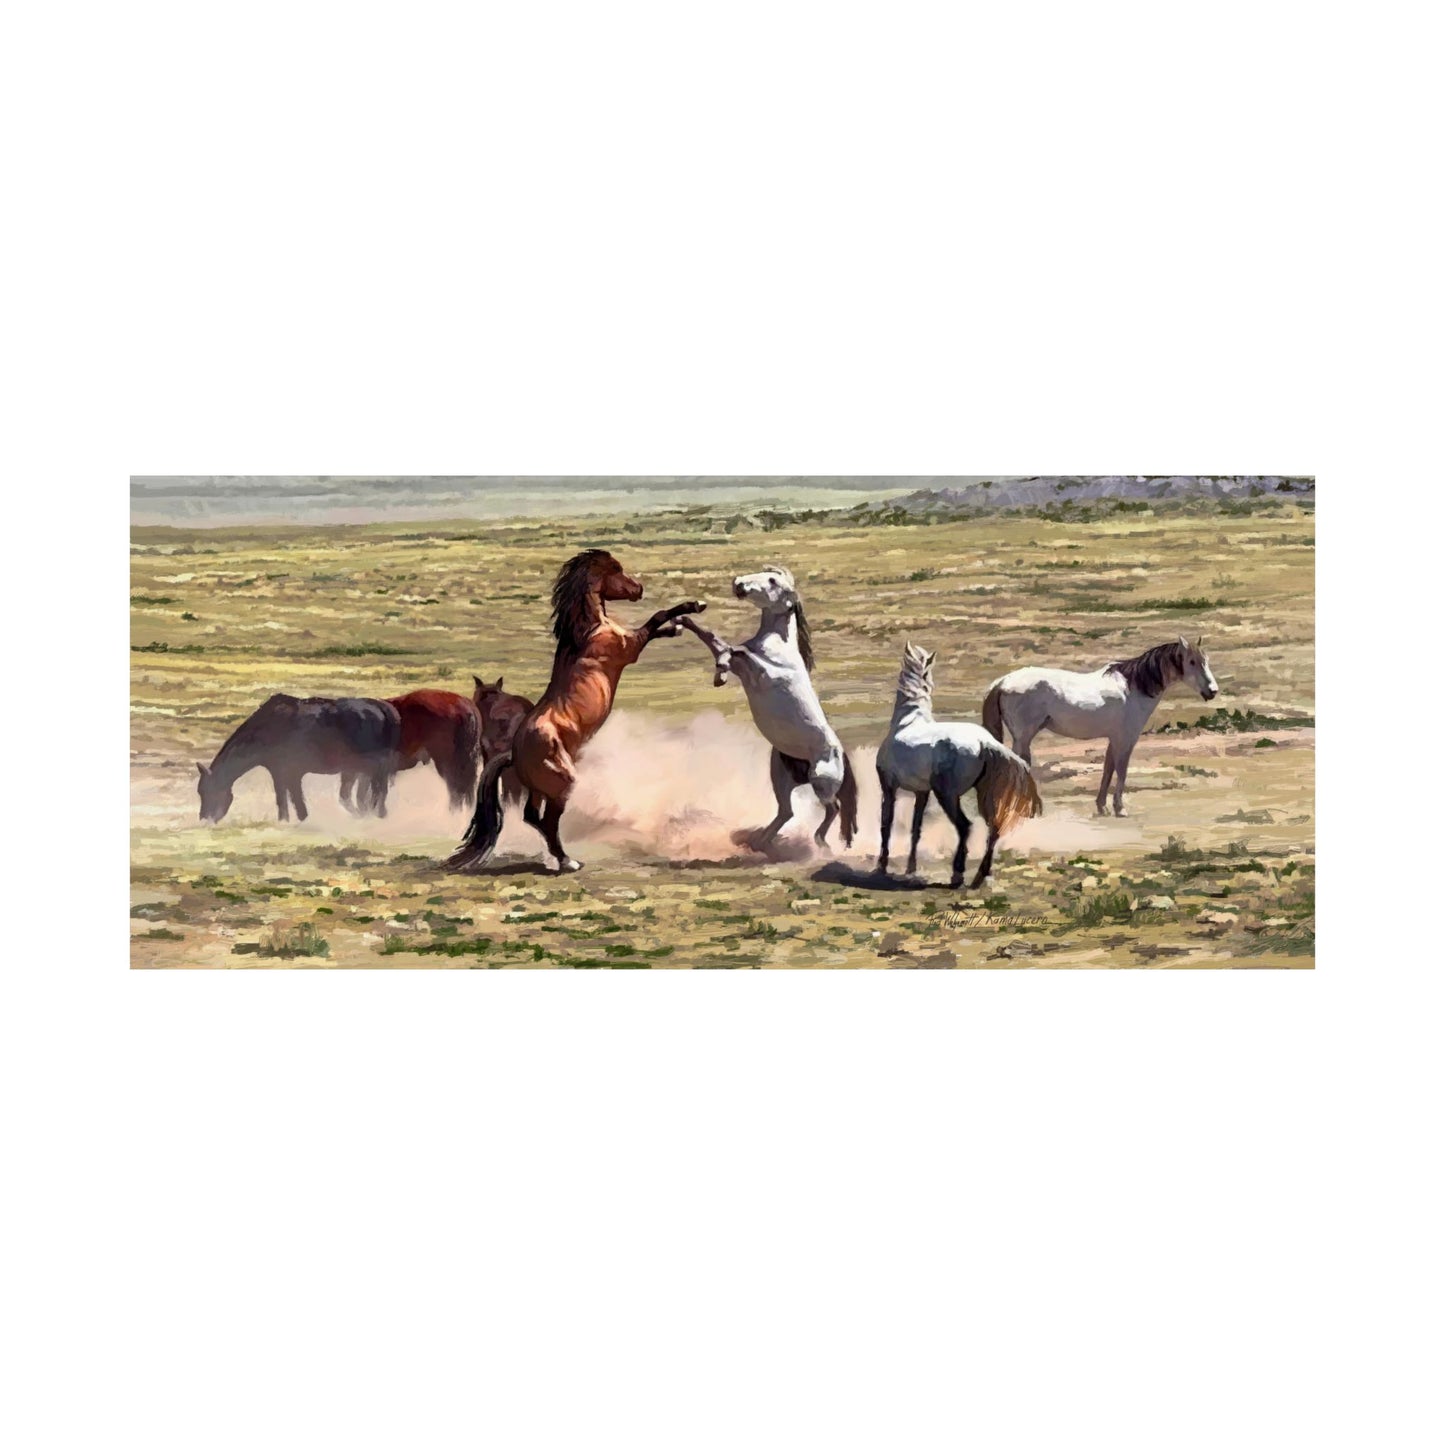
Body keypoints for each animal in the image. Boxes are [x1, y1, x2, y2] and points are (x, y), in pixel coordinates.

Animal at [197, 694, 401, 823]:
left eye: (206, 791)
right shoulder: (279, 773)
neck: (268, 729)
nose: (205, 819)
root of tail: (381, 708)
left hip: (373, 766)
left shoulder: (293, 773)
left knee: (379, 790)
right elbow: (283, 802)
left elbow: (297, 803)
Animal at [677, 565, 858, 851]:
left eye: (773, 580)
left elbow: (735, 649)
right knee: (787, 811)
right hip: (780, 776)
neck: (778, 647)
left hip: (821, 782)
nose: (738, 583)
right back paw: (760, 842)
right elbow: (714, 639)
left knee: (834, 808)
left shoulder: (762, 673)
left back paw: (819, 843)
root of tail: (841, 755)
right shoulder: (745, 669)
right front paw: (683, 621)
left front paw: (721, 670)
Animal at [876, 644, 1042, 888]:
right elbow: (916, 829)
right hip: (982, 794)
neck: (907, 721)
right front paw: (910, 868)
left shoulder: (889, 787)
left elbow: (886, 825)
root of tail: (985, 742)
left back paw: (958, 874)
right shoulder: (922, 792)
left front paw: (881, 866)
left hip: (948, 796)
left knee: (965, 826)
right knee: (993, 828)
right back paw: (980, 875)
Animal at [982, 636, 1219, 816]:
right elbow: (1121, 771)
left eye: (1206, 660)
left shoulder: (1113, 739)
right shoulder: (1126, 739)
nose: (1212, 691)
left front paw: (1102, 807)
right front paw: (1119, 809)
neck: (1133, 687)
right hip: (1023, 738)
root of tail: (1002, 682)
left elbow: (1108, 769)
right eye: (1192, 662)